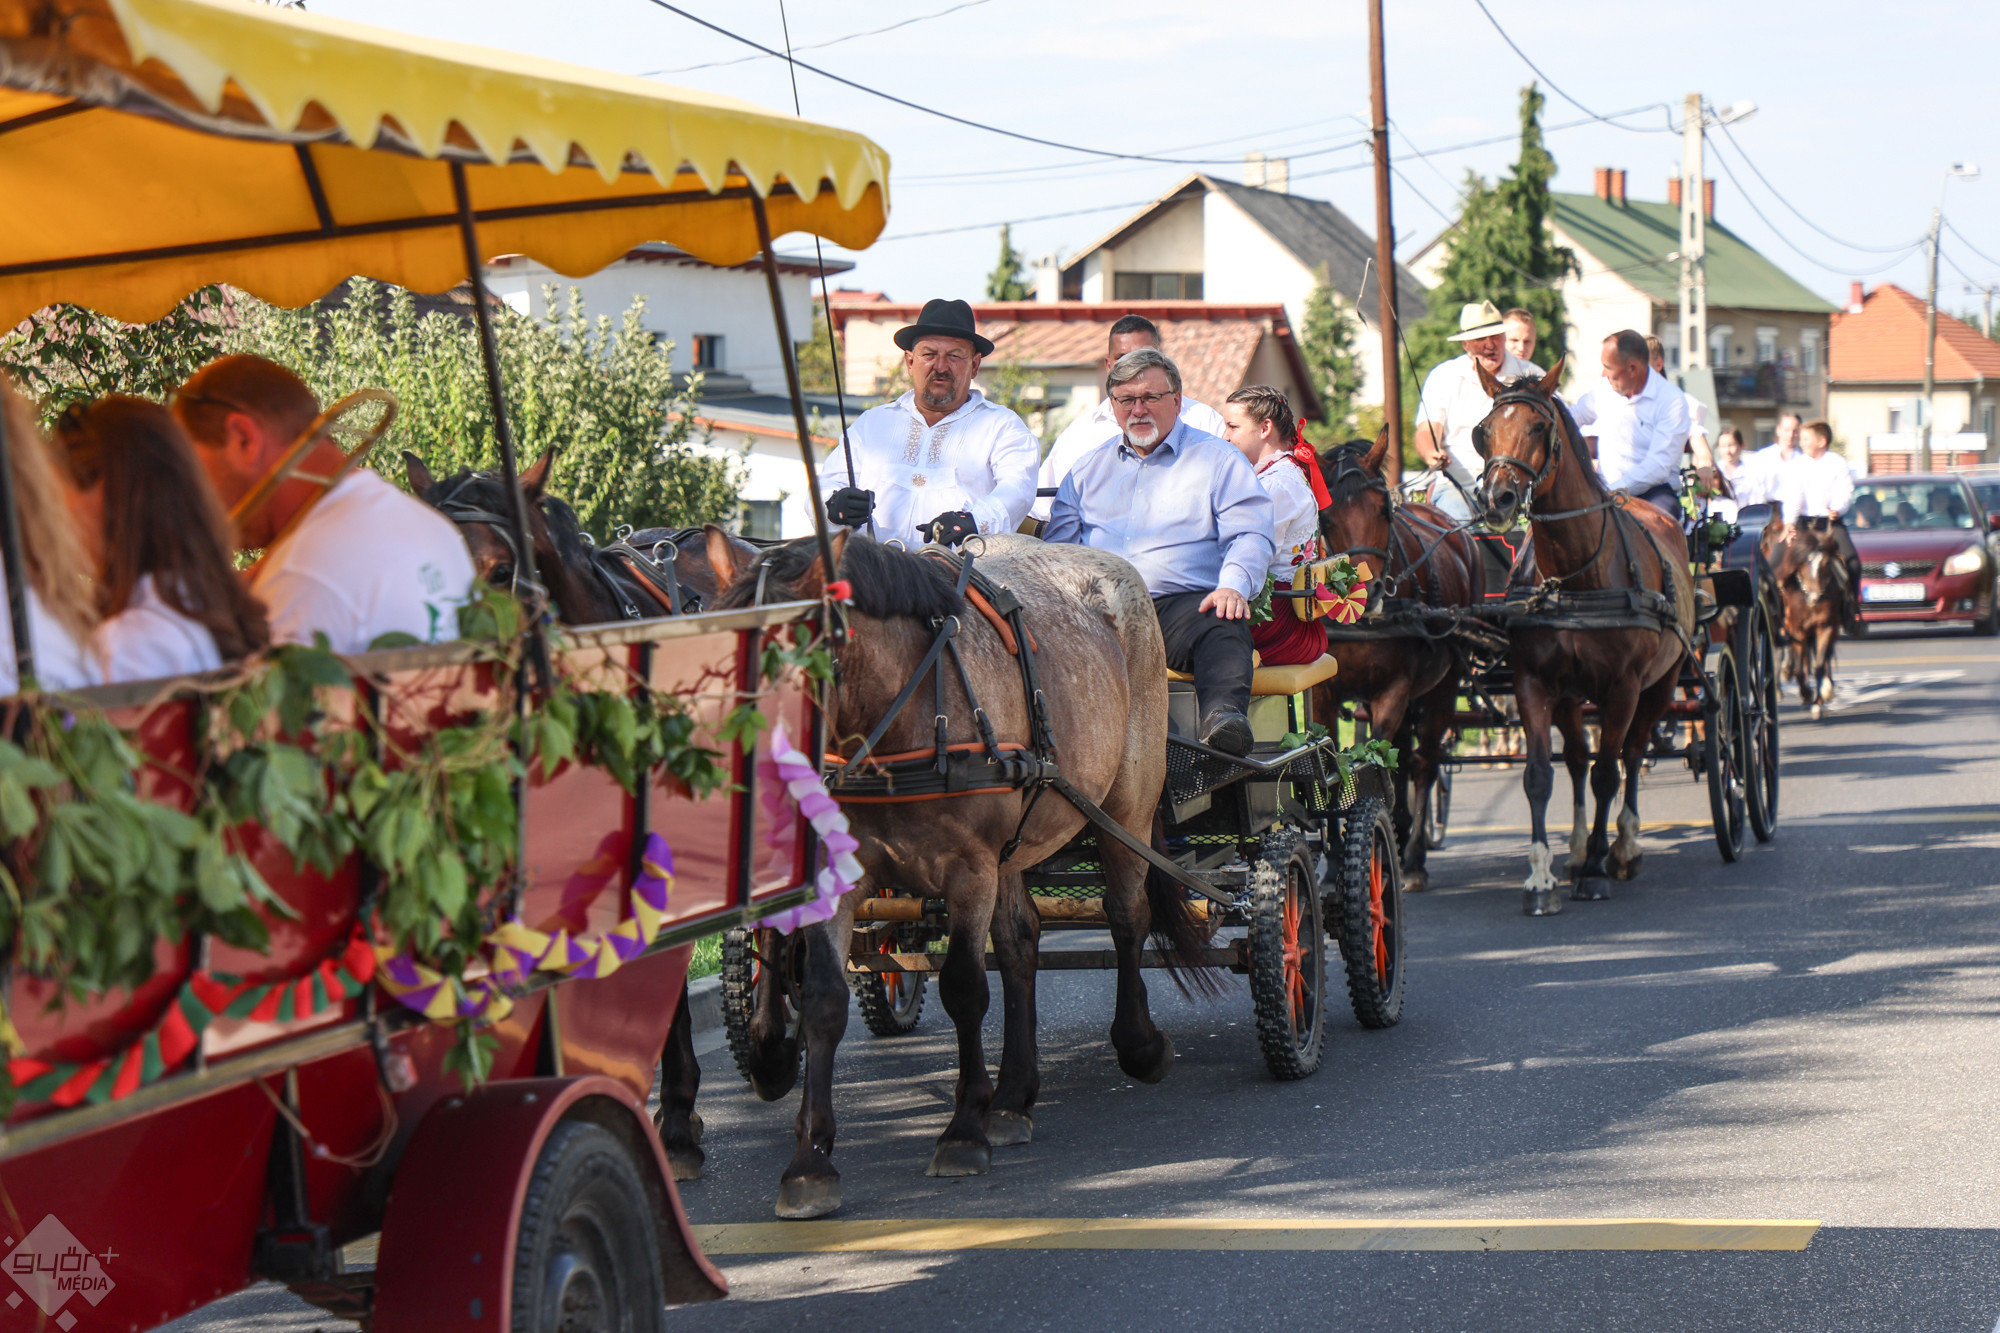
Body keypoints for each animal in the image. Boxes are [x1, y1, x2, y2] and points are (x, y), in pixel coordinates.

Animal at [712, 530, 1213, 1219]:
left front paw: (963, 1130)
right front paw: (810, 1161)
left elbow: (965, 988)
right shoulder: (840, 876)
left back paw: (1137, 1042)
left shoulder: (971, 869)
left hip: (1126, 807)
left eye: (793, 661)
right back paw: (1013, 1095)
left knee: (1126, 916)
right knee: (1022, 942)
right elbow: (822, 998)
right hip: (1018, 846)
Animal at [1312, 431, 1485, 891]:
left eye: (1383, 510)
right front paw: (1332, 866)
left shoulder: (1393, 690)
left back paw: (1414, 857)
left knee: (1423, 762)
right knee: (1405, 757)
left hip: (1444, 682)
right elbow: (1333, 771)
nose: (1367, 592)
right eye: (1326, 518)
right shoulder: (1323, 694)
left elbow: (1375, 765)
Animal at [1471, 358, 1697, 915]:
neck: (1574, 576)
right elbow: (1540, 774)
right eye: (1483, 431)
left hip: (1661, 685)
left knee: (1632, 754)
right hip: (1572, 696)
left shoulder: (1623, 688)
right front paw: (1540, 877)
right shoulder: (1534, 684)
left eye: (1538, 427)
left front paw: (1597, 867)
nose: (1497, 498)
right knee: (1574, 759)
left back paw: (1624, 847)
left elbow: (1607, 773)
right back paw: (1573, 850)